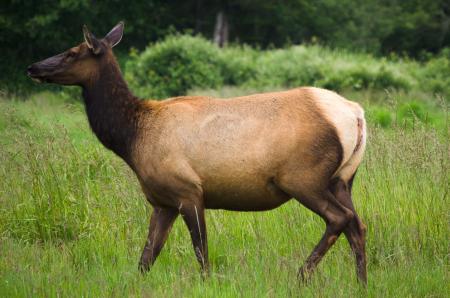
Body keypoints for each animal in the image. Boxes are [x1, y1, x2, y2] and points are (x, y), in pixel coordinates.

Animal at [26, 22, 368, 284]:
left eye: (73, 52)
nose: (33, 67)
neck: (132, 138)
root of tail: (355, 114)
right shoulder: (161, 201)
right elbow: (146, 257)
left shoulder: (188, 190)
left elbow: (200, 250)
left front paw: (207, 282)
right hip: (342, 179)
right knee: (357, 225)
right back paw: (361, 282)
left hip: (302, 177)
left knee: (340, 218)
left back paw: (301, 275)